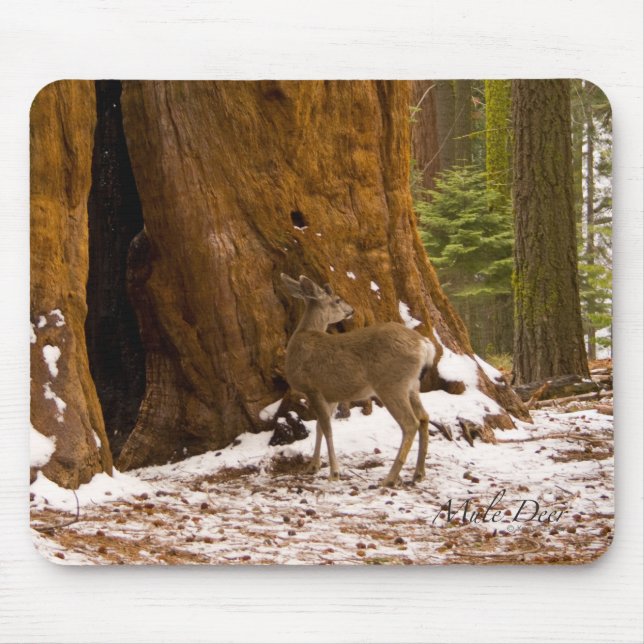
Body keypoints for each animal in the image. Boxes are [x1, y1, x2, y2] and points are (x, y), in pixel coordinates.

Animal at [280, 273, 436, 487]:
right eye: (338, 300)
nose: (351, 310)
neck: (304, 336)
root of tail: (424, 344)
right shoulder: (330, 394)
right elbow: (320, 427)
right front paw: (313, 466)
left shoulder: (313, 388)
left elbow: (327, 429)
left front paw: (334, 473)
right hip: (412, 384)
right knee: (424, 417)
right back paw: (418, 473)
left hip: (391, 384)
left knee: (410, 423)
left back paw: (390, 478)